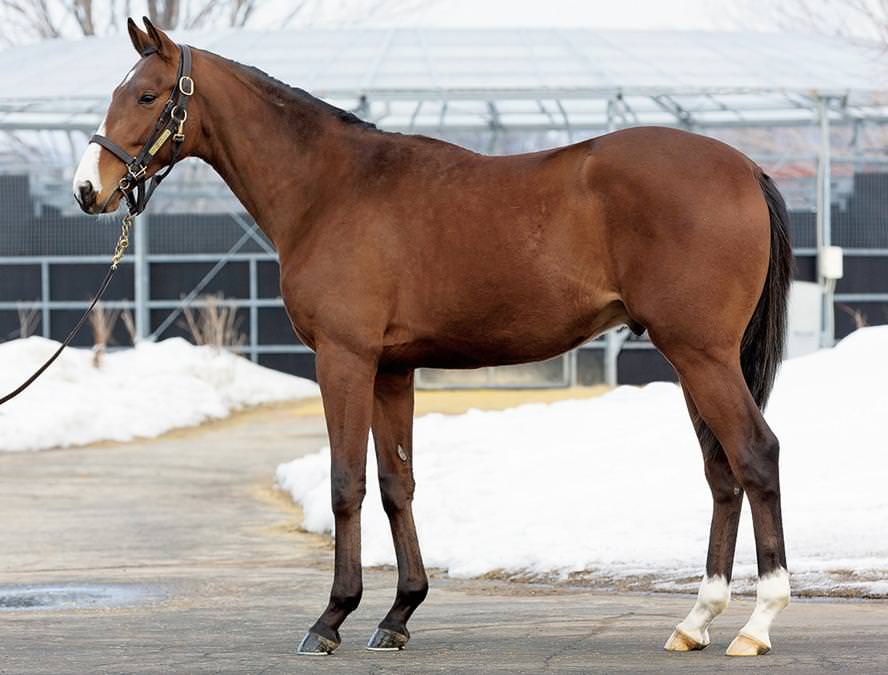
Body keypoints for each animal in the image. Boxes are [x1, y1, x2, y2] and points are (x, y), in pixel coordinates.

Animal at [74, 17, 792, 660]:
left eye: (146, 95)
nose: (88, 189)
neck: (329, 188)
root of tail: (744, 167)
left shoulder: (345, 359)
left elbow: (346, 483)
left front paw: (331, 618)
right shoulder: (393, 369)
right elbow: (398, 484)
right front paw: (398, 613)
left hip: (701, 354)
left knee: (755, 455)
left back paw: (758, 624)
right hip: (694, 359)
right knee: (721, 472)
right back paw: (696, 621)